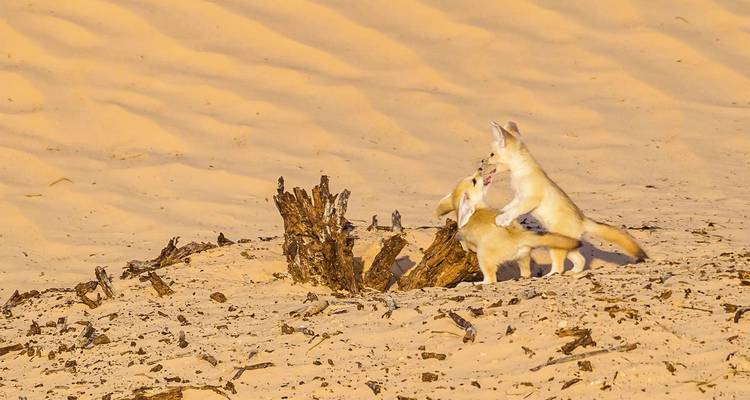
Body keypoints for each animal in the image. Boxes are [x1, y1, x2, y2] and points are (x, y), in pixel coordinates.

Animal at [436, 168, 582, 283]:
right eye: (474, 181)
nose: (480, 169)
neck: (477, 208)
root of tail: (517, 235)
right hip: (523, 257)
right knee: (522, 274)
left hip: (483, 256)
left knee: (491, 280)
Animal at [485, 121, 648, 276]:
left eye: (491, 154)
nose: (482, 162)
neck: (521, 171)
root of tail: (582, 220)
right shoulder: (518, 196)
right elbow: (509, 207)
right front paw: (501, 213)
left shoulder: (530, 199)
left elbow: (515, 210)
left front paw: (502, 219)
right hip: (570, 246)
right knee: (580, 260)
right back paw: (574, 273)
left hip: (556, 246)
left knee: (559, 267)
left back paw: (550, 275)